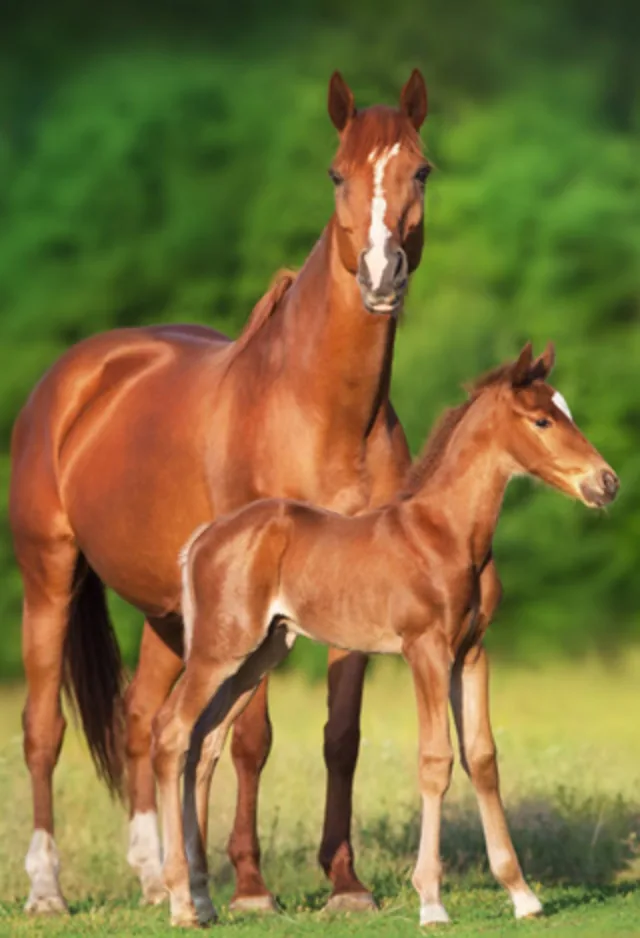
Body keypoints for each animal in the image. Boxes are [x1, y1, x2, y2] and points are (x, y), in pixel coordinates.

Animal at [9, 69, 430, 914]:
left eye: (422, 172)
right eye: (337, 175)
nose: (382, 276)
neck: (319, 410)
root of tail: (74, 376)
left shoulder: (350, 584)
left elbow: (340, 738)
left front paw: (345, 883)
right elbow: (250, 738)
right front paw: (250, 885)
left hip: (170, 614)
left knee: (143, 721)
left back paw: (152, 875)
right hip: (50, 576)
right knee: (44, 730)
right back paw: (46, 890)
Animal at [151, 342, 619, 927]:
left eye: (566, 411)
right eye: (542, 420)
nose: (607, 483)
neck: (447, 534)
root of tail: (203, 538)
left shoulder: (472, 653)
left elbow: (482, 758)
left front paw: (522, 894)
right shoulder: (425, 650)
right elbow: (436, 760)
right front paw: (431, 901)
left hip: (260, 653)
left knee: (206, 742)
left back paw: (203, 898)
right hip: (221, 649)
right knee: (172, 731)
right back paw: (179, 902)